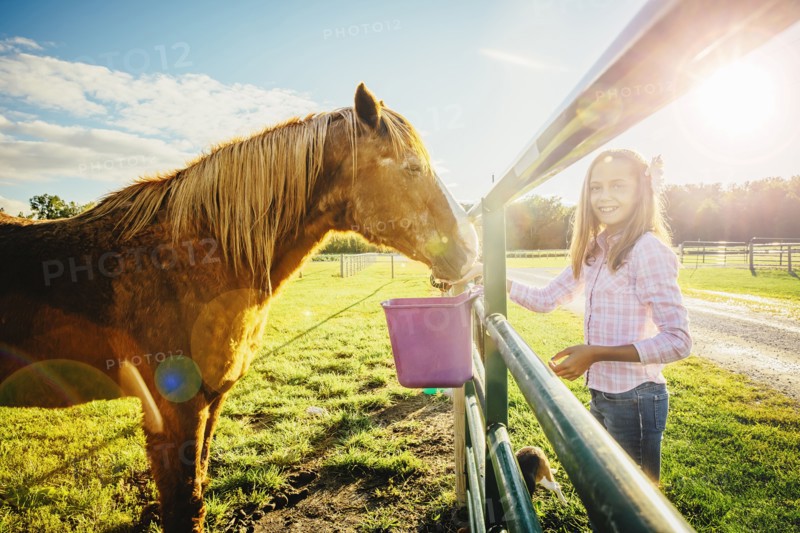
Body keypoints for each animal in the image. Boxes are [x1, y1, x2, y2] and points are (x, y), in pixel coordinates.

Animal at [0, 83, 479, 532]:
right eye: (412, 167)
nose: (470, 247)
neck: (189, 259)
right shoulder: (175, 410)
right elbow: (182, 507)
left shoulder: (209, 401)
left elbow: (197, 491)